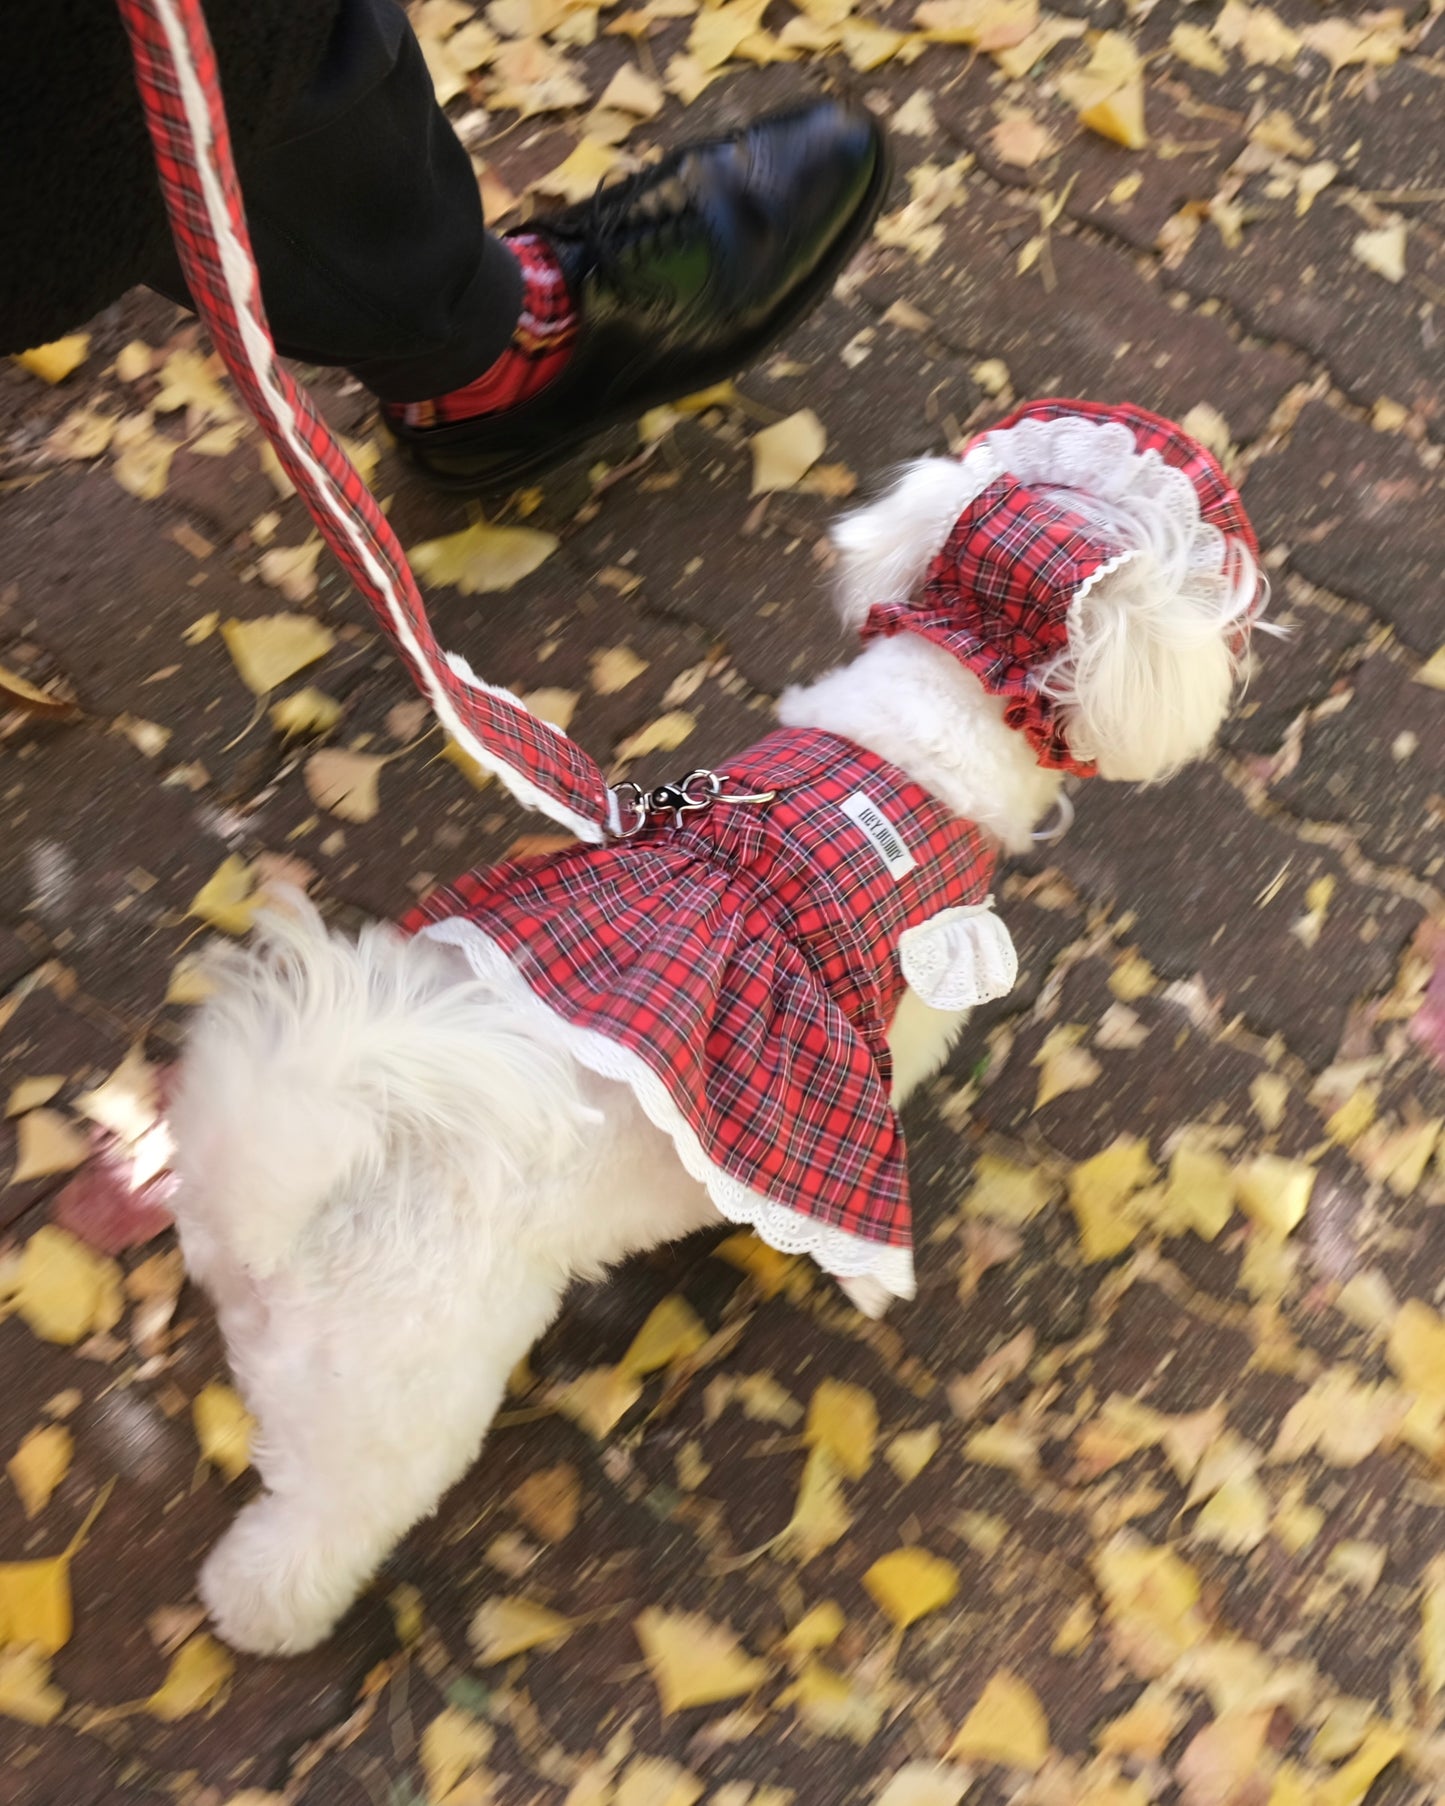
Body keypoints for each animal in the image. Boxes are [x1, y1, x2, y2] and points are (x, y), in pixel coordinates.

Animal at [166, 402, 1264, 1654]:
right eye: (1209, 556)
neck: (914, 746)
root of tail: (300, 1192)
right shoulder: (901, 1021)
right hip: (392, 1412)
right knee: (310, 1535)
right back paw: (264, 1613)